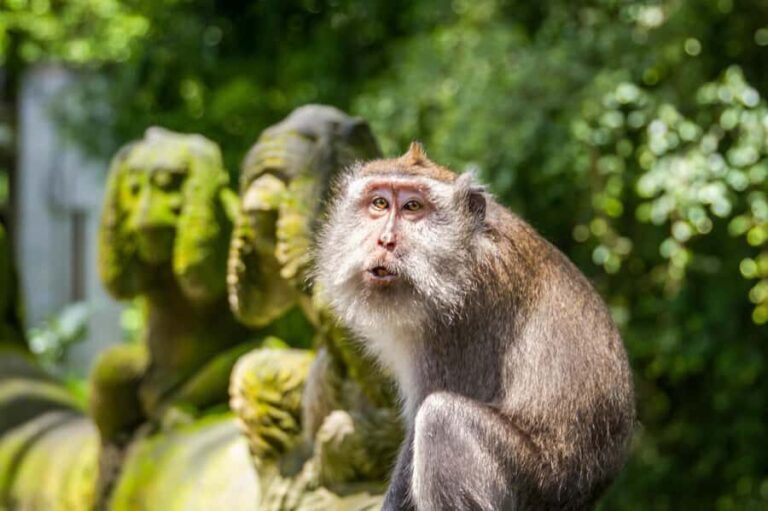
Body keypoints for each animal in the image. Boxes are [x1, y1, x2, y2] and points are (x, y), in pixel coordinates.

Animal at [314, 142, 635, 511]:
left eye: (413, 207)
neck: (463, 249)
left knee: (441, 419)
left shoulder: (455, 324)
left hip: (530, 483)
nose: (385, 240)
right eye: (379, 204)